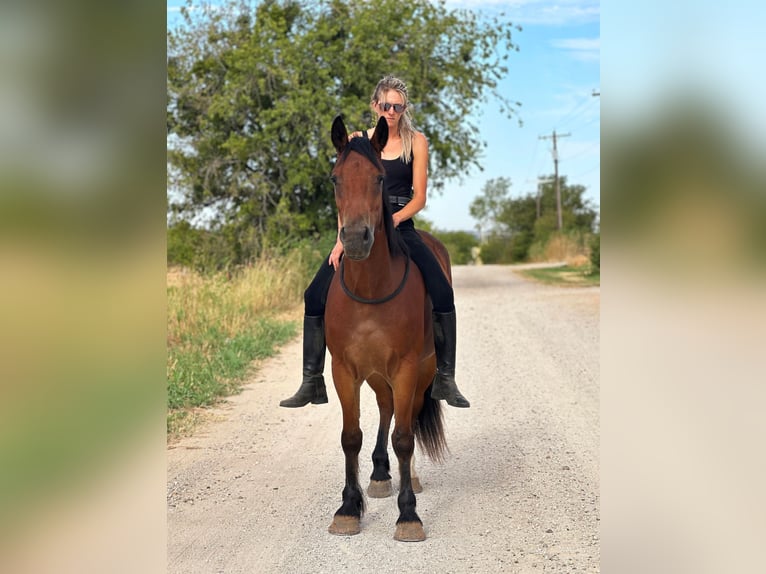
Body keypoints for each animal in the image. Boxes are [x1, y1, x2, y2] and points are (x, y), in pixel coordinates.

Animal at [322, 117, 450, 544]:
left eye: (379, 178)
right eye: (335, 178)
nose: (354, 240)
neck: (369, 290)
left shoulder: (407, 367)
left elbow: (405, 438)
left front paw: (408, 515)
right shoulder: (344, 369)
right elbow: (351, 436)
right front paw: (348, 509)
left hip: (420, 370)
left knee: (406, 415)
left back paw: (409, 478)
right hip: (377, 373)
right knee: (386, 407)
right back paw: (379, 475)